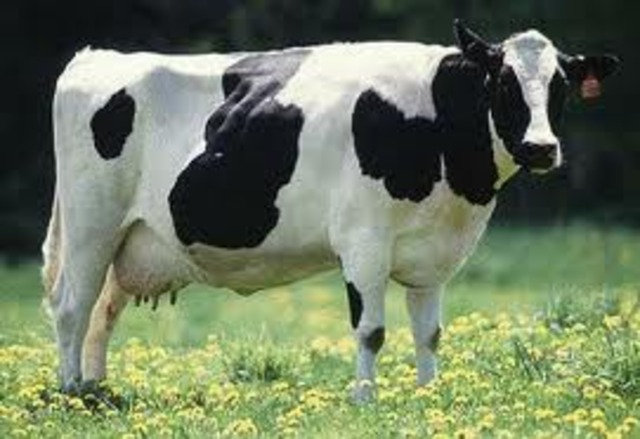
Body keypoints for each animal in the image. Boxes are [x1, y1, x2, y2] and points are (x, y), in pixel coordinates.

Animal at [42, 20, 618, 402]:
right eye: (503, 83)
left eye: (561, 87)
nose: (541, 148)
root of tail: (97, 56)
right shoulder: (363, 240)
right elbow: (371, 330)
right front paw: (364, 401)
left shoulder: (432, 255)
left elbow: (428, 332)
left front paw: (430, 396)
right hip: (91, 225)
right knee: (72, 306)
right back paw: (71, 393)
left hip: (130, 240)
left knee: (102, 314)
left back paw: (98, 392)